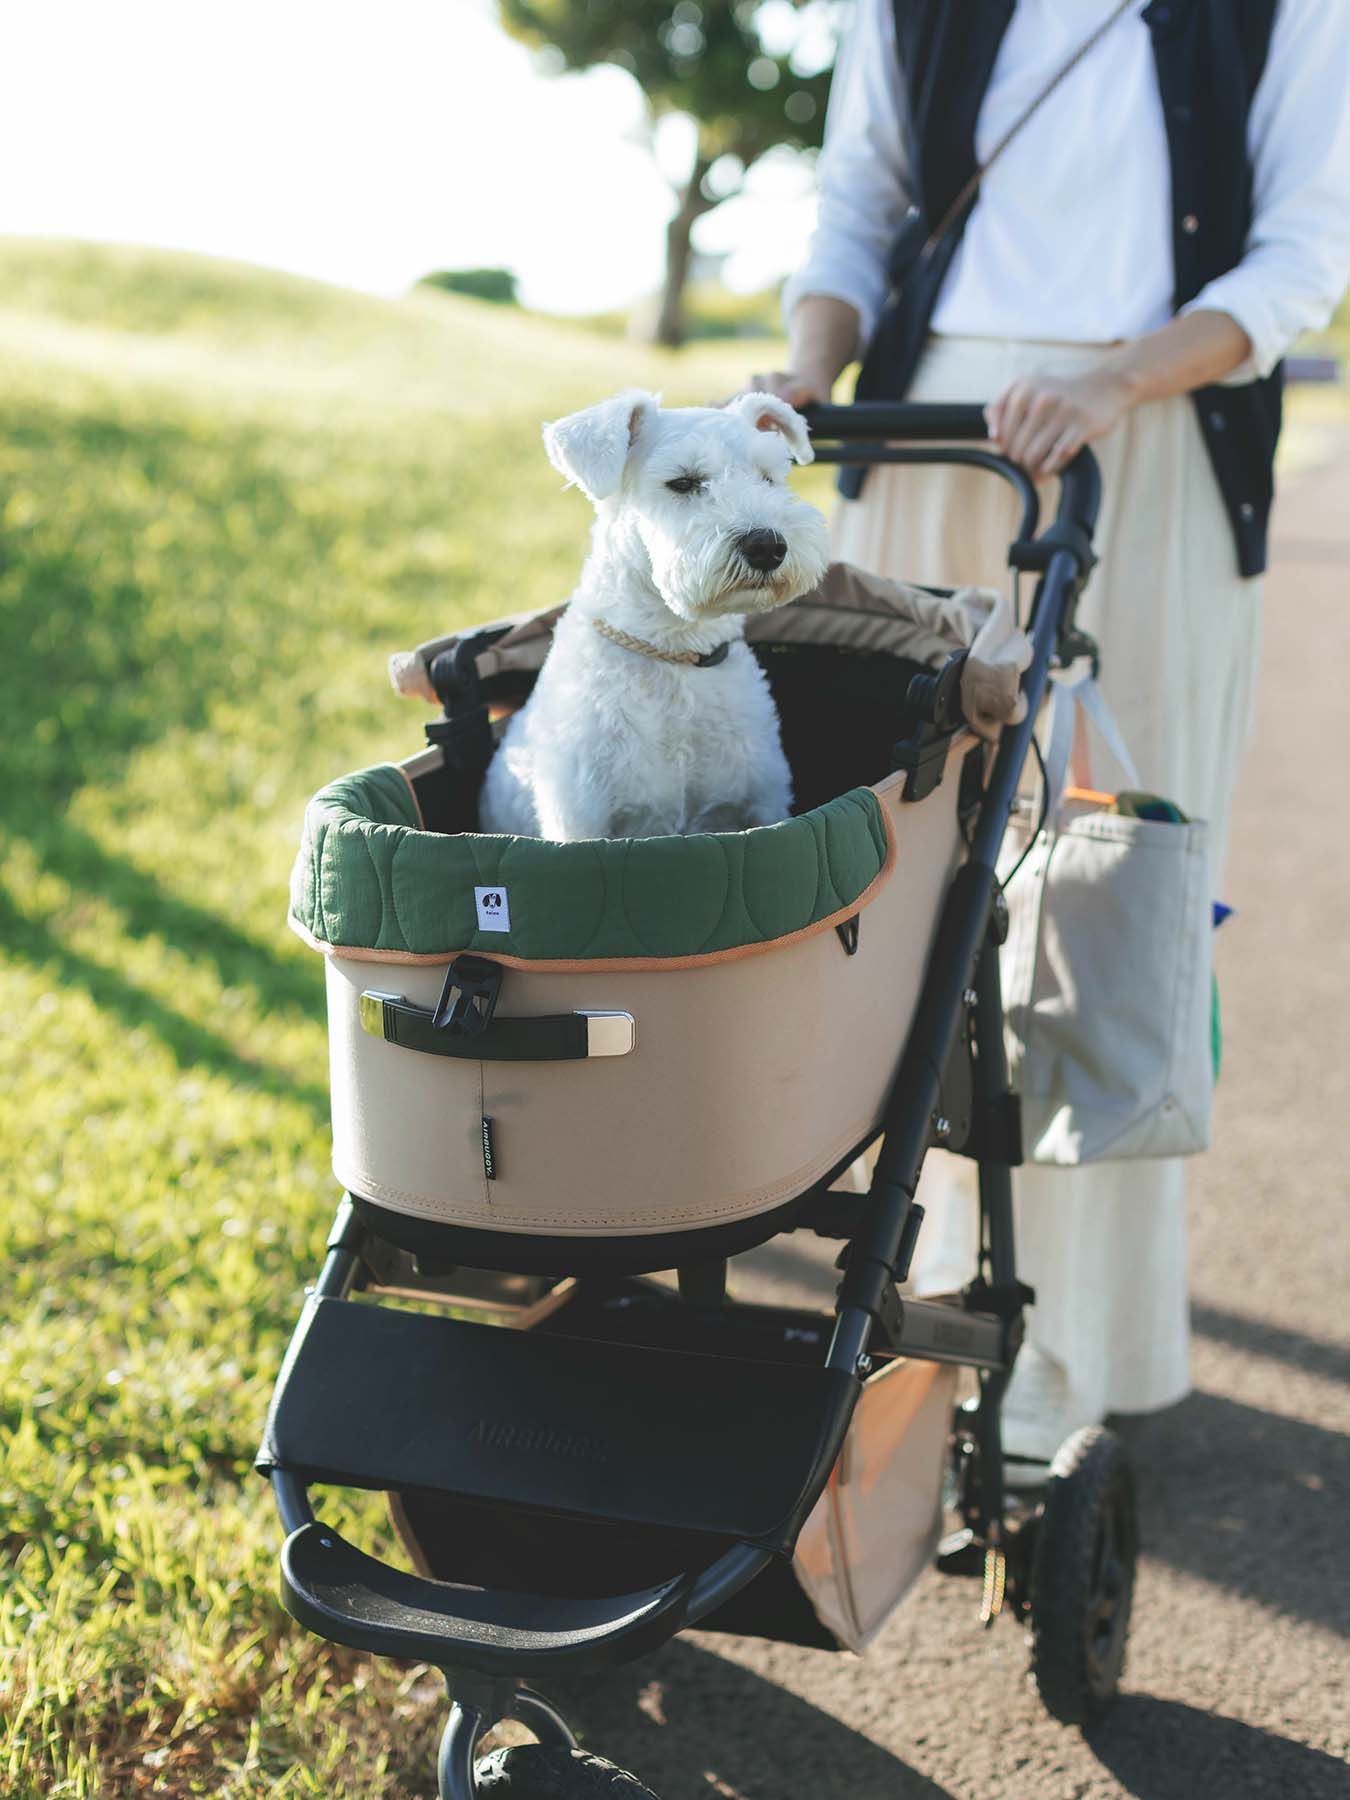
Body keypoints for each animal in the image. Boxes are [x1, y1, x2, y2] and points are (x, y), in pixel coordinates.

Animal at [475, 390, 835, 838]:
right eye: (682, 482)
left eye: (769, 477)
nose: (767, 546)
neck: (674, 651)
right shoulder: (579, 825)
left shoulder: (764, 805)